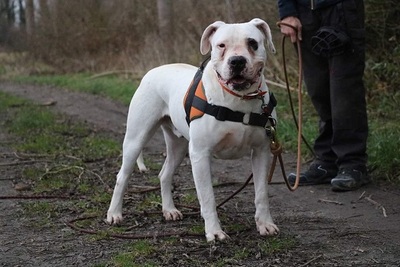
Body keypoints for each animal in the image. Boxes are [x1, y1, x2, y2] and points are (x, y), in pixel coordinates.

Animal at [108, 17, 280, 242]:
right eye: (221, 45)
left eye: (253, 43)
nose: (237, 61)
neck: (237, 100)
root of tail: (154, 70)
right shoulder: (200, 154)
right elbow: (207, 197)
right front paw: (214, 231)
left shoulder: (261, 152)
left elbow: (261, 193)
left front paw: (265, 224)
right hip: (136, 139)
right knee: (122, 176)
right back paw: (114, 214)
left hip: (178, 146)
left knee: (165, 174)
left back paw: (169, 210)